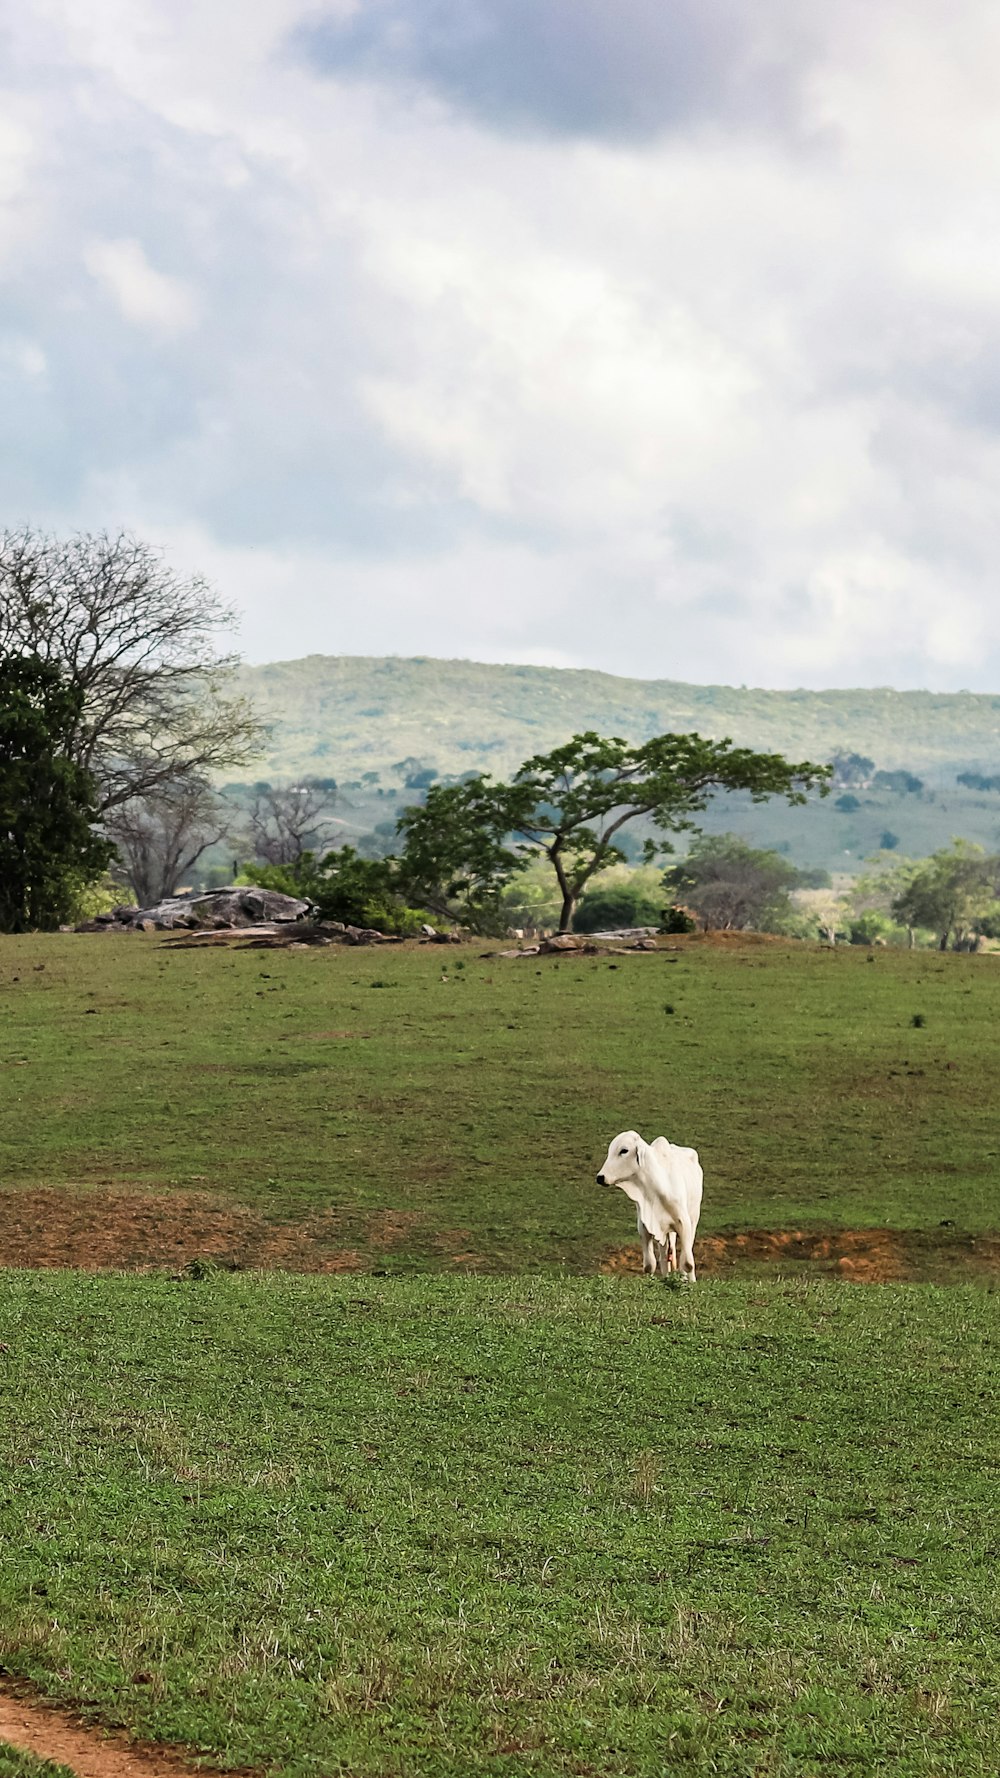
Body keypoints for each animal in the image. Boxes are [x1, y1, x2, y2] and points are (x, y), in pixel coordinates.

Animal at [590, 1137, 701, 1280]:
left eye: (624, 1150)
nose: (600, 1177)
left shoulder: (684, 1223)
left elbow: (688, 1263)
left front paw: (690, 1282)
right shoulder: (645, 1226)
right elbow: (649, 1265)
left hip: (693, 1219)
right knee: (664, 1257)